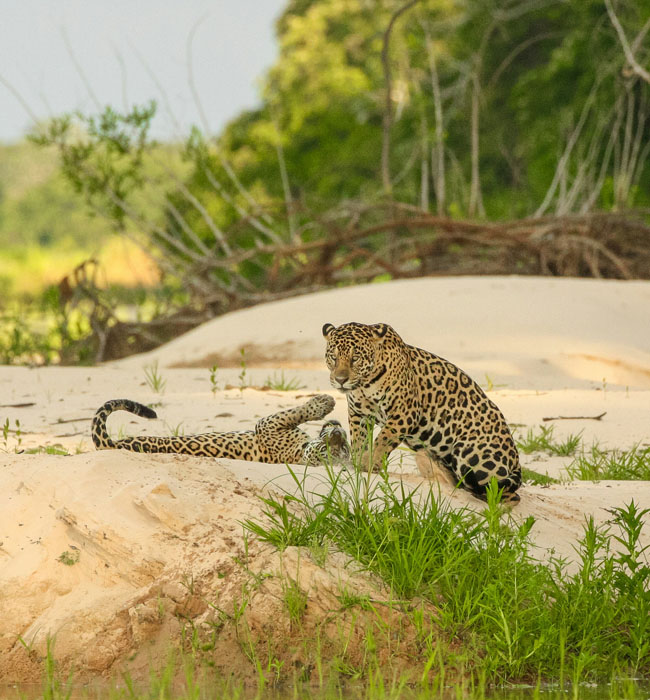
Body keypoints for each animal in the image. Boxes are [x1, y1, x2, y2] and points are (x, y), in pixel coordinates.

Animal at [92, 394, 350, 465]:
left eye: (340, 451)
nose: (337, 433)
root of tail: (110, 444)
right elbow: (298, 412)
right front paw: (327, 406)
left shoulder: (268, 425)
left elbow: (296, 412)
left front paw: (325, 403)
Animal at [322, 321, 522, 502]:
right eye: (333, 357)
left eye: (355, 358)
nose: (340, 380)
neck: (364, 384)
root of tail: (516, 461)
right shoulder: (358, 414)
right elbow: (359, 441)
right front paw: (357, 463)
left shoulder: (404, 413)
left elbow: (382, 440)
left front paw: (369, 464)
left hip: (469, 454)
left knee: (507, 494)